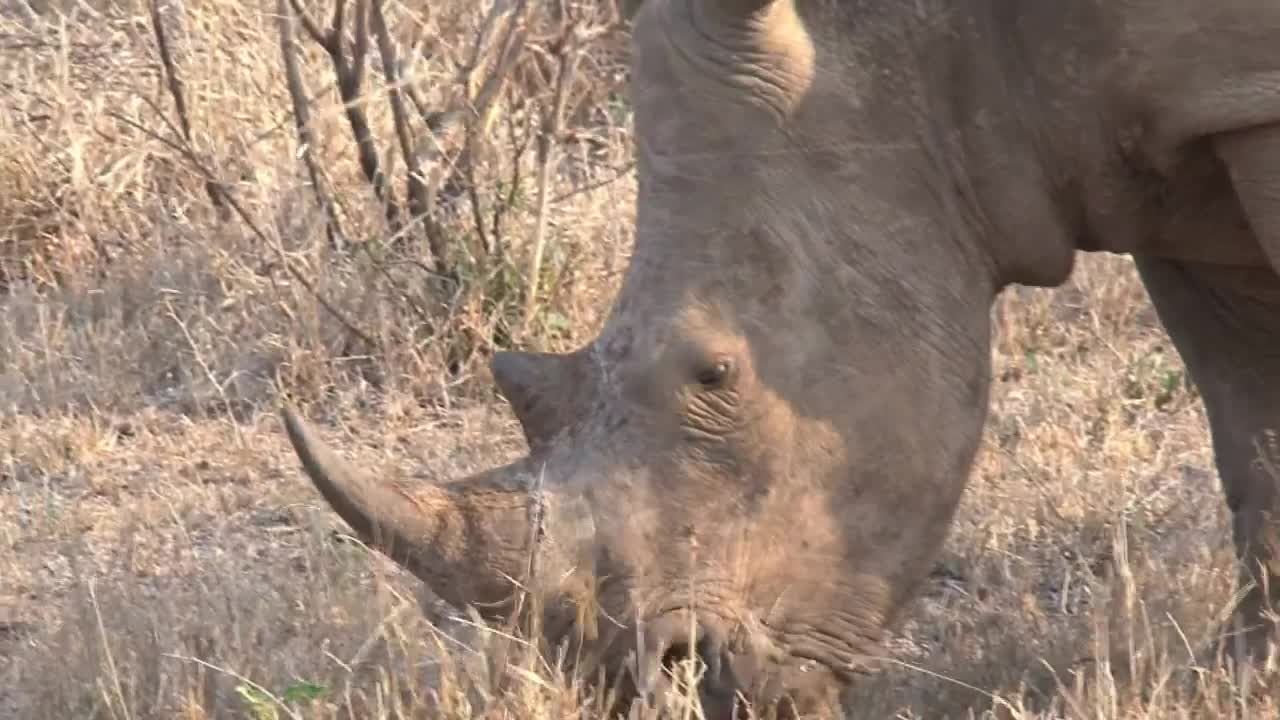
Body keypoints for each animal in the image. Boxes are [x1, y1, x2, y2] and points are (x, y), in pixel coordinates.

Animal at [285, 0, 1280, 712]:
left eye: (714, 373)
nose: (663, 682)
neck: (936, 41)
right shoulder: (1161, 131)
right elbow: (1248, 424)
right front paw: (1244, 680)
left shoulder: (1246, 94)